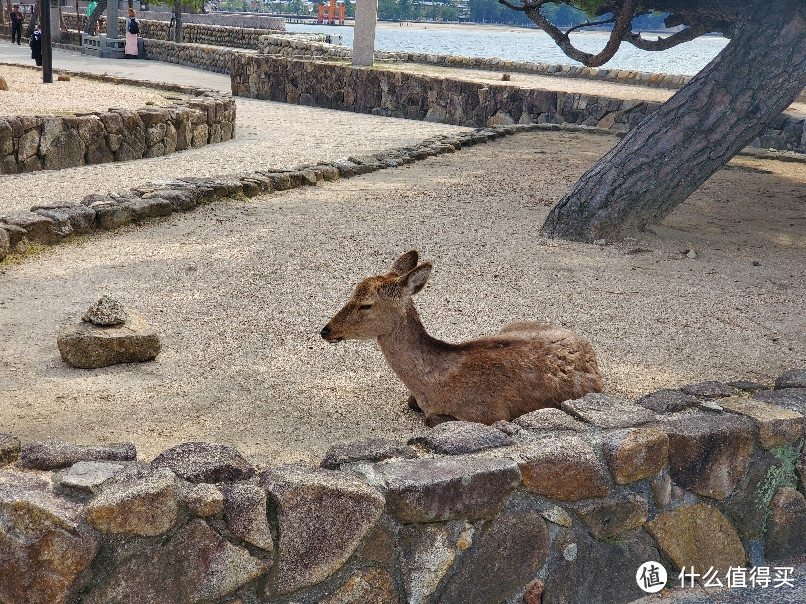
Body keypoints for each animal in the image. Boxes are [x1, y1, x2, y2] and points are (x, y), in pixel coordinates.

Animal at [318, 249, 604, 424]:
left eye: (365, 304)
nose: (326, 330)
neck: (430, 386)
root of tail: (588, 348)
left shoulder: (491, 412)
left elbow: (432, 419)